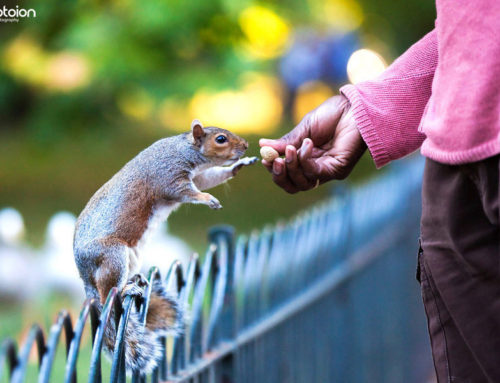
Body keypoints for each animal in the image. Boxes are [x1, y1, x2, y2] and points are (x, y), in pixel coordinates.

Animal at [74, 118, 258, 374]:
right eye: (220, 139)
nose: (246, 146)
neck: (184, 149)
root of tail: (85, 276)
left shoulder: (197, 177)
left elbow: (209, 179)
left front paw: (240, 165)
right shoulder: (169, 176)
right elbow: (186, 191)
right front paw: (207, 199)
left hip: (131, 255)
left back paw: (135, 279)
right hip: (112, 255)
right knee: (106, 294)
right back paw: (125, 289)